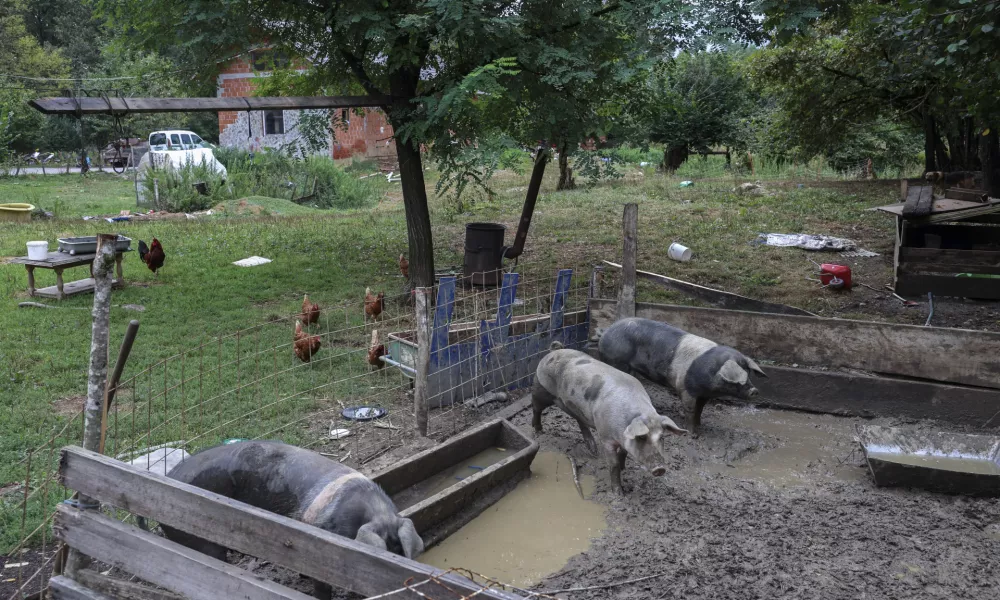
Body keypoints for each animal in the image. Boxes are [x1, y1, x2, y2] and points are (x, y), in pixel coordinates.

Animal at [532, 340, 688, 494]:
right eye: (642, 437)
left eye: (662, 437)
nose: (660, 468)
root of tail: (554, 351)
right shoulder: (606, 437)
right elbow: (613, 464)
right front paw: (618, 494)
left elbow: (624, 453)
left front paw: (623, 467)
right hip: (542, 389)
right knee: (536, 407)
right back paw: (538, 431)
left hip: (570, 405)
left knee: (580, 421)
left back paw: (593, 450)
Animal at [596, 318, 768, 436]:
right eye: (739, 378)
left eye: (749, 373)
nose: (755, 391)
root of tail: (606, 331)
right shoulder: (685, 388)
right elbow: (690, 409)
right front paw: (692, 434)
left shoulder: (704, 394)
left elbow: (700, 410)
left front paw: (700, 427)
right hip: (617, 360)